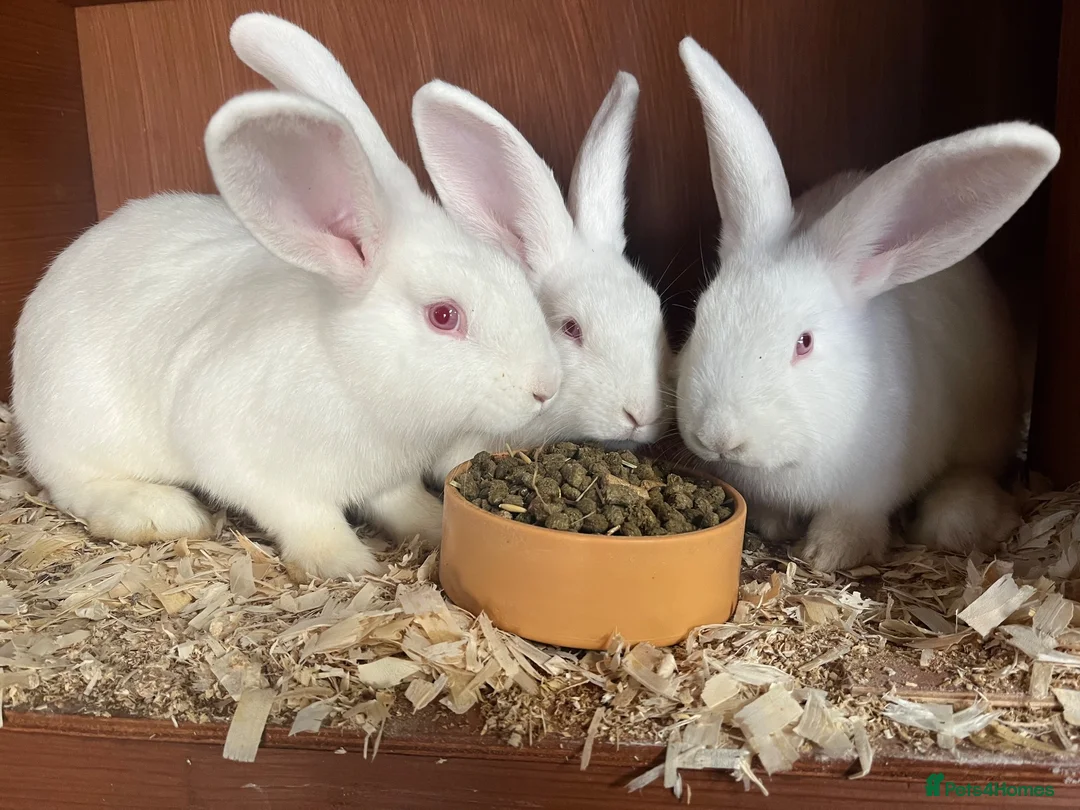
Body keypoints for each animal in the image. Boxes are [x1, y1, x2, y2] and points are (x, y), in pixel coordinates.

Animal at [11, 48, 561, 580]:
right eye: (444, 316)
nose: (545, 389)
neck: (349, 373)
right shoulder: (248, 461)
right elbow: (305, 515)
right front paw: (342, 563)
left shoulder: (388, 478)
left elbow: (401, 503)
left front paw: (432, 523)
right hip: (81, 426)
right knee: (77, 484)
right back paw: (160, 512)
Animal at [673, 37, 1060, 573]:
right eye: (698, 318)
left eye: (804, 342)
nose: (718, 437)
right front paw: (777, 526)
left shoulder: (868, 489)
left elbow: (851, 520)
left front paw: (827, 553)